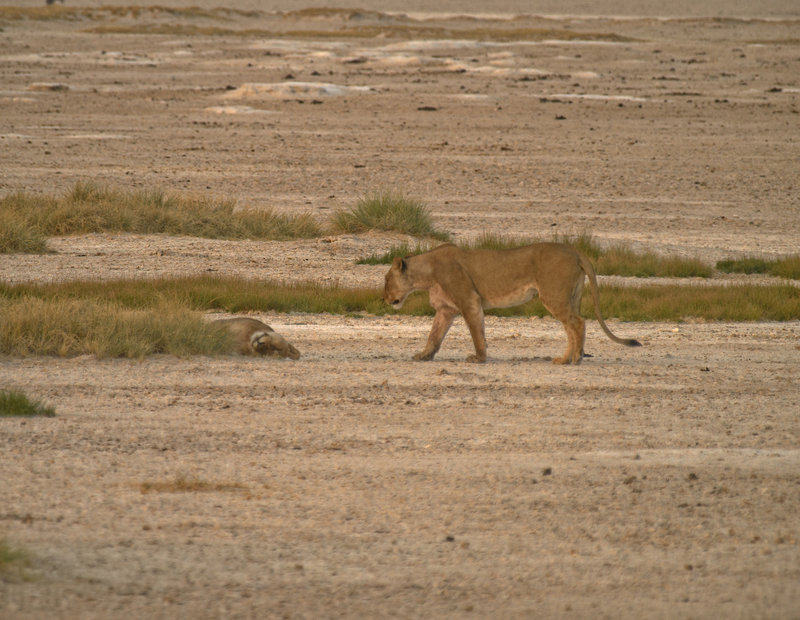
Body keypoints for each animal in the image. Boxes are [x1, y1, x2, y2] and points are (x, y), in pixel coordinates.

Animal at [383, 242, 641, 365]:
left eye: (386, 280)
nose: (383, 299)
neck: (426, 273)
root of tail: (575, 250)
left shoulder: (469, 300)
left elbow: (477, 333)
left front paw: (479, 358)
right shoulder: (446, 310)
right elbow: (434, 336)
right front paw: (424, 355)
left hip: (553, 295)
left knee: (577, 323)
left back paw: (576, 359)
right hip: (570, 297)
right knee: (571, 326)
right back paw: (565, 359)